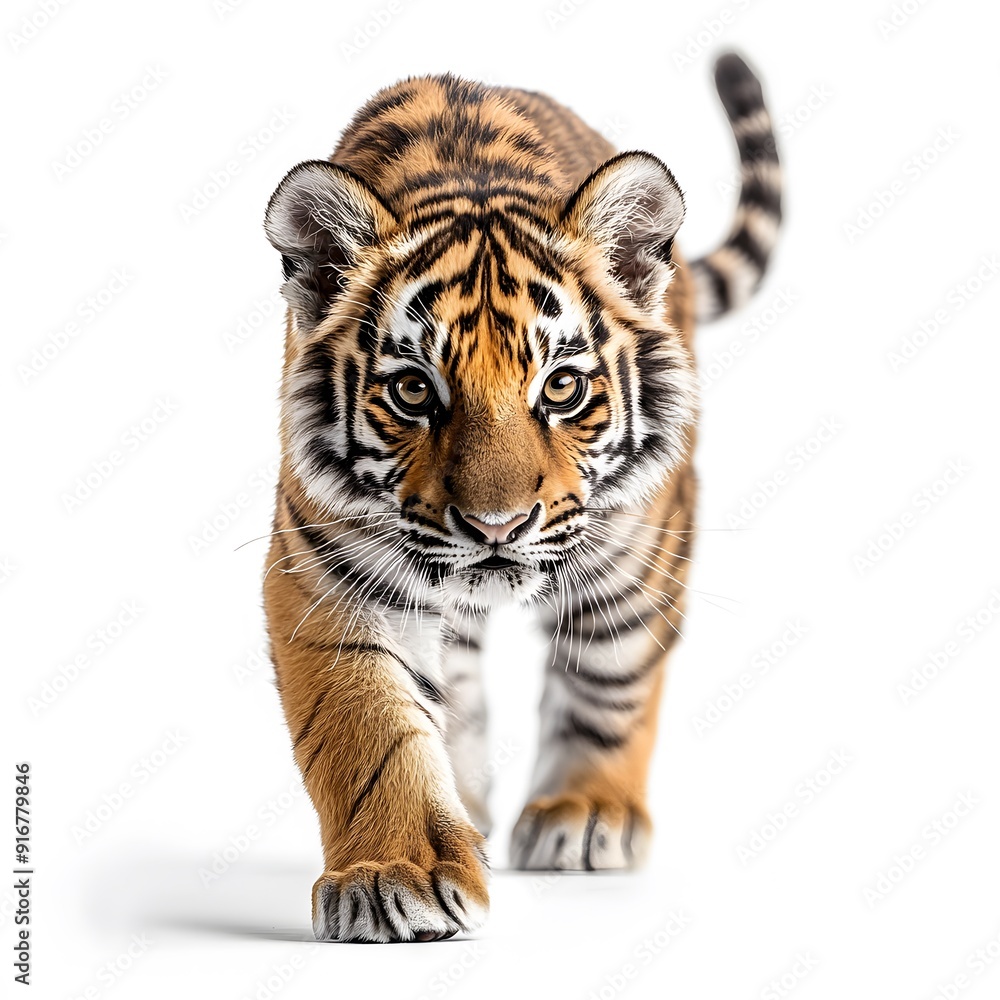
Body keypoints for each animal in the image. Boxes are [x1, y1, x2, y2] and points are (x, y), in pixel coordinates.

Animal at [261, 52, 781, 943]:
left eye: (563, 387)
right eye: (412, 391)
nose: (496, 525)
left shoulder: (641, 542)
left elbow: (613, 678)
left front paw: (584, 813)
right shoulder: (327, 573)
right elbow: (372, 726)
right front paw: (395, 873)